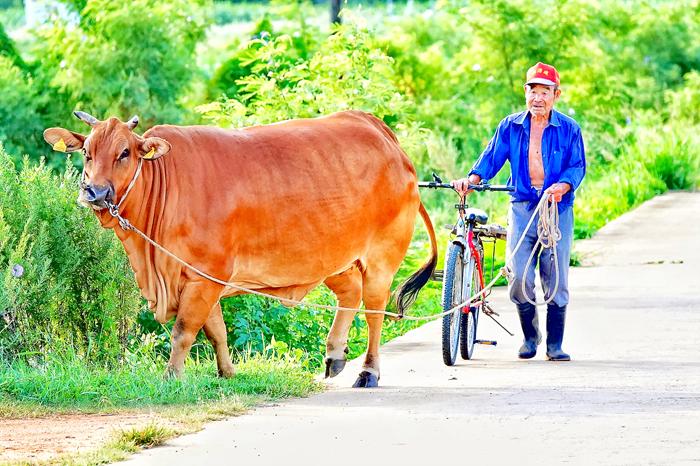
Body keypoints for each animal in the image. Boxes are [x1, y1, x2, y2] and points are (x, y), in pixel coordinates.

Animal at [41, 111, 434, 388]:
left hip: (381, 260)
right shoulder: (200, 278)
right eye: (87, 153)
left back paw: (368, 371)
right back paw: (335, 354)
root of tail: (379, 129)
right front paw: (227, 372)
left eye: (124, 152)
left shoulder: (206, 275)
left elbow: (184, 331)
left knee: (374, 311)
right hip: (334, 259)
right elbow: (216, 330)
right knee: (350, 293)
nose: (93, 192)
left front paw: (172, 377)